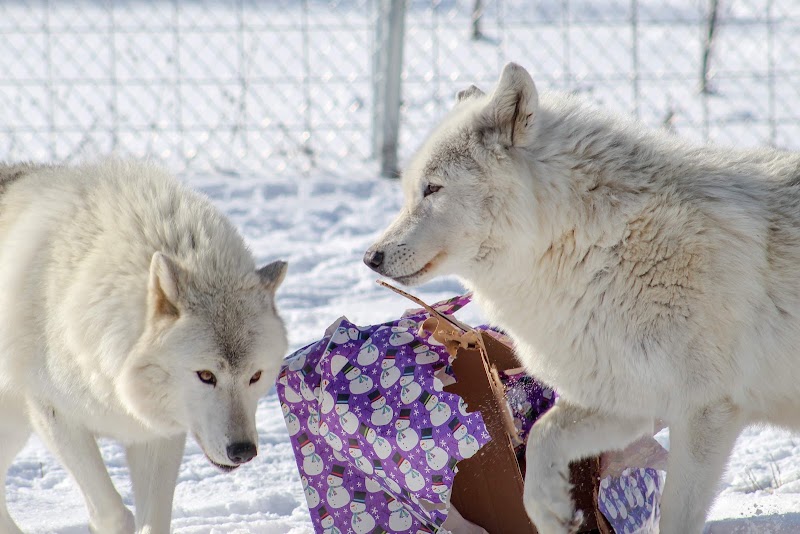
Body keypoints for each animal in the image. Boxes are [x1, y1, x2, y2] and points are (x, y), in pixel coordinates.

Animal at [0, 160, 289, 534]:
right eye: (206, 375)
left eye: (255, 377)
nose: (243, 451)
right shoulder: (53, 413)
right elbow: (114, 513)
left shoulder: (156, 431)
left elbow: (155, 520)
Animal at [365, 62, 800, 533]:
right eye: (410, 190)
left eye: (433, 188)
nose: (370, 257)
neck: (593, 245)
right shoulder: (627, 400)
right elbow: (542, 438)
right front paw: (553, 512)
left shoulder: (704, 413)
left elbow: (674, 518)